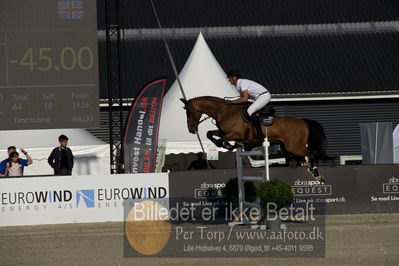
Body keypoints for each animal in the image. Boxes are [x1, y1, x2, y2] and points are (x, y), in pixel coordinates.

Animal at [180, 96, 332, 182]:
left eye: (189, 111)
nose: (191, 129)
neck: (224, 111)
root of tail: (304, 122)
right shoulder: (222, 131)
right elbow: (209, 134)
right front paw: (228, 145)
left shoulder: (233, 133)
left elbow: (220, 139)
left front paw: (228, 145)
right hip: (288, 148)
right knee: (307, 155)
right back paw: (312, 171)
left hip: (294, 147)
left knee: (313, 154)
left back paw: (316, 173)